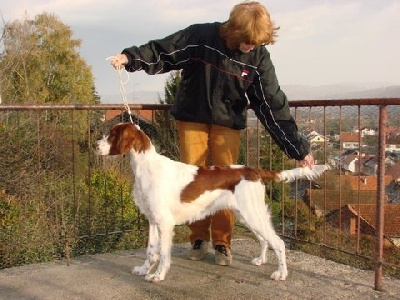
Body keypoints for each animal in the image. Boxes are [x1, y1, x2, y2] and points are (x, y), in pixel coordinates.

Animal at [95, 122, 330, 282]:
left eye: (112, 134)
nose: (96, 145)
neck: (146, 166)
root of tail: (253, 171)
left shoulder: (164, 223)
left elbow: (162, 254)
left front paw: (158, 276)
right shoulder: (152, 221)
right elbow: (151, 251)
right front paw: (144, 270)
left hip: (252, 214)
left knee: (278, 242)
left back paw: (281, 273)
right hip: (247, 215)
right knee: (264, 239)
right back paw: (261, 260)